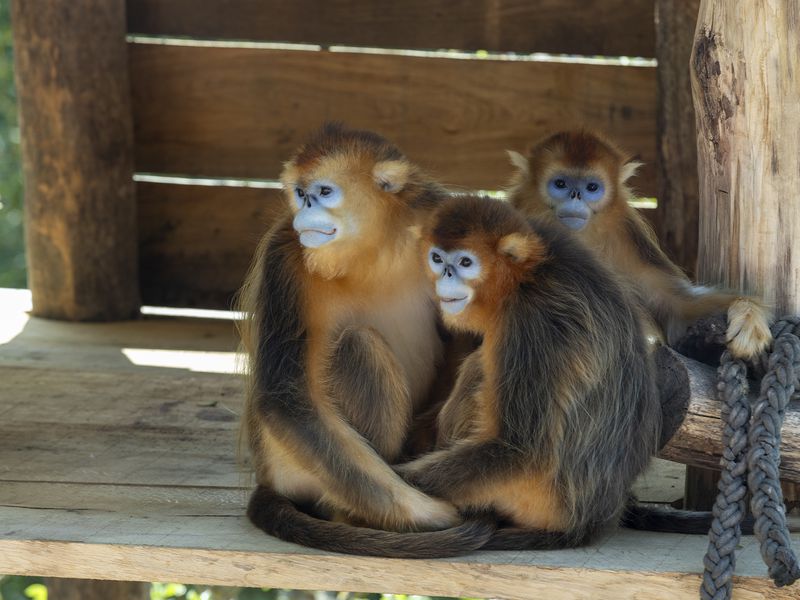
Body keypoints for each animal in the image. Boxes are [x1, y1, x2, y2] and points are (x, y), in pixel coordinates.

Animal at [237, 123, 496, 557]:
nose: (304, 210)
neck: (372, 251)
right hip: (296, 469)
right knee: (360, 345)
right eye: (300, 193)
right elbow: (287, 396)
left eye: (324, 192)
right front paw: (430, 514)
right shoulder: (283, 256)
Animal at [396, 195, 663, 548]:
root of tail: (583, 525)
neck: (528, 276)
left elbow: (517, 449)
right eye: (437, 259)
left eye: (466, 263)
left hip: (536, 499)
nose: (446, 275)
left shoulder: (532, 321)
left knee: (479, 370)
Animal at [506, 130, 772, 361]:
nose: (575, 195)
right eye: (560, 184)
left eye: (591, 187)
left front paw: (748, 313)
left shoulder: (626, 237)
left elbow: (675, 304)